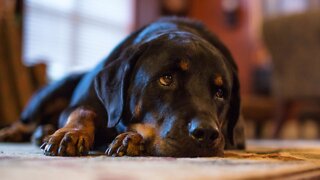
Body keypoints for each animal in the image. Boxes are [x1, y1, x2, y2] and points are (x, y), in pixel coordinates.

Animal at [0, 17, 245, 157]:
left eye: (220, 93)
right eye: (166, 78)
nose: (206, 133)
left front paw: (131, 138)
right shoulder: (85, 102)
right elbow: (82, 111)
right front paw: (71, 133)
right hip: (52, 93)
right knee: (28, 120)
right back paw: (18, 131)